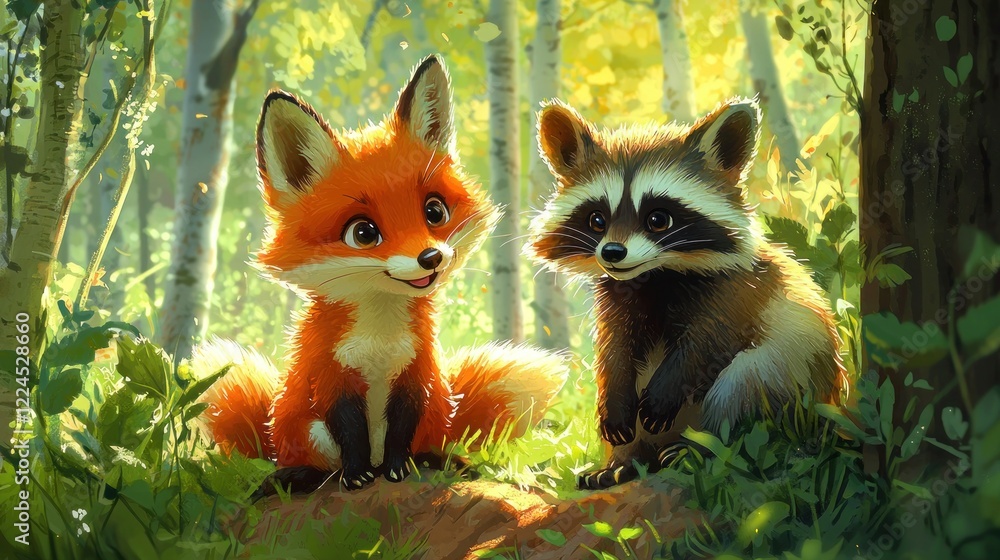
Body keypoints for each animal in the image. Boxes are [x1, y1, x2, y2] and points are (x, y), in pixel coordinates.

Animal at [193, 55, 567, 493]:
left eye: (434, 212)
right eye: (363, 233)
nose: (430, 257)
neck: (380, 338)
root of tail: (271, 439)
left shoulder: (416, 374)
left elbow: (400, 433)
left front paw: (399, 470)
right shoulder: (331, 377)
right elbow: (351, 433)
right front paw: (357, 475)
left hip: (436, 411)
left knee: (427, 444)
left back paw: (440, 462)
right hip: (304, 430)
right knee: (315, 463)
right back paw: (299, 476)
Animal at [526, 98, 846, 490]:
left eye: (658, 219)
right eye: (597, 220)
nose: (612, 253)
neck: (656, 274)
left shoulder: (739, 291)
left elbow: (707, 345)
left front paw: (666, 393)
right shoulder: (617, 294)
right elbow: (615, 349)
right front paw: (614, 408)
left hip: (794, 378)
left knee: (745, 385)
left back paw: (699, 449)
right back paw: (624, 461)